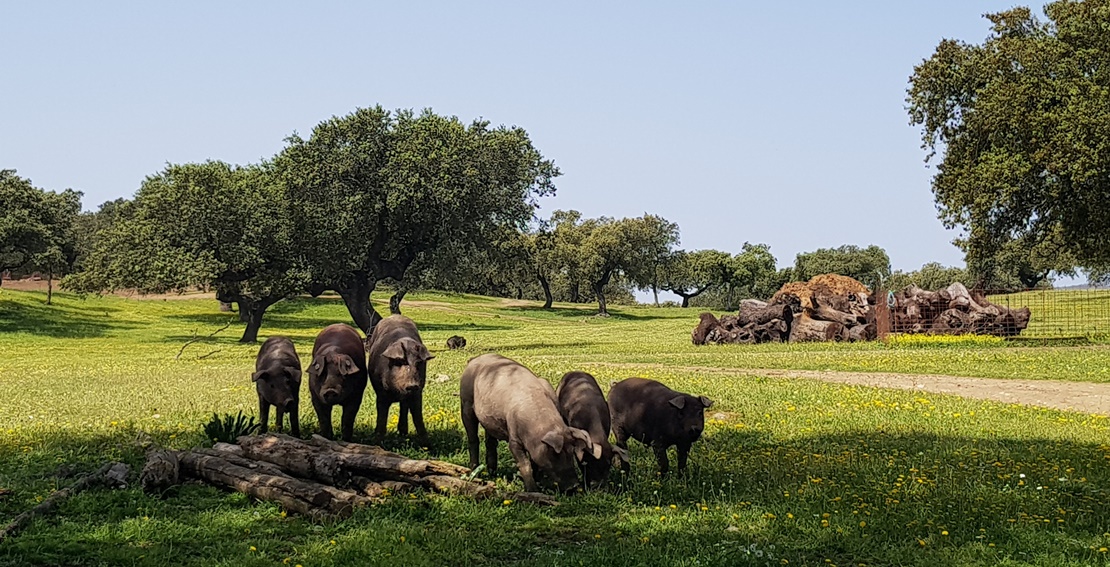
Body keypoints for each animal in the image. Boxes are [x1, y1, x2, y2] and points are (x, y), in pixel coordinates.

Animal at [459, 355, 599, 492]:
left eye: (571, 452)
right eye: (555, 454)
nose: (573, 486)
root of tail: (474, 359)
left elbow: (534, 463)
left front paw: (540, 484)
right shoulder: (513, 439)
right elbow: (525, 464)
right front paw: (533, 491)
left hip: (489, 421)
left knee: (490, 443)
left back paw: (492, 473)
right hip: (466, 402)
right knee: (473, 439)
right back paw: (474, 472)